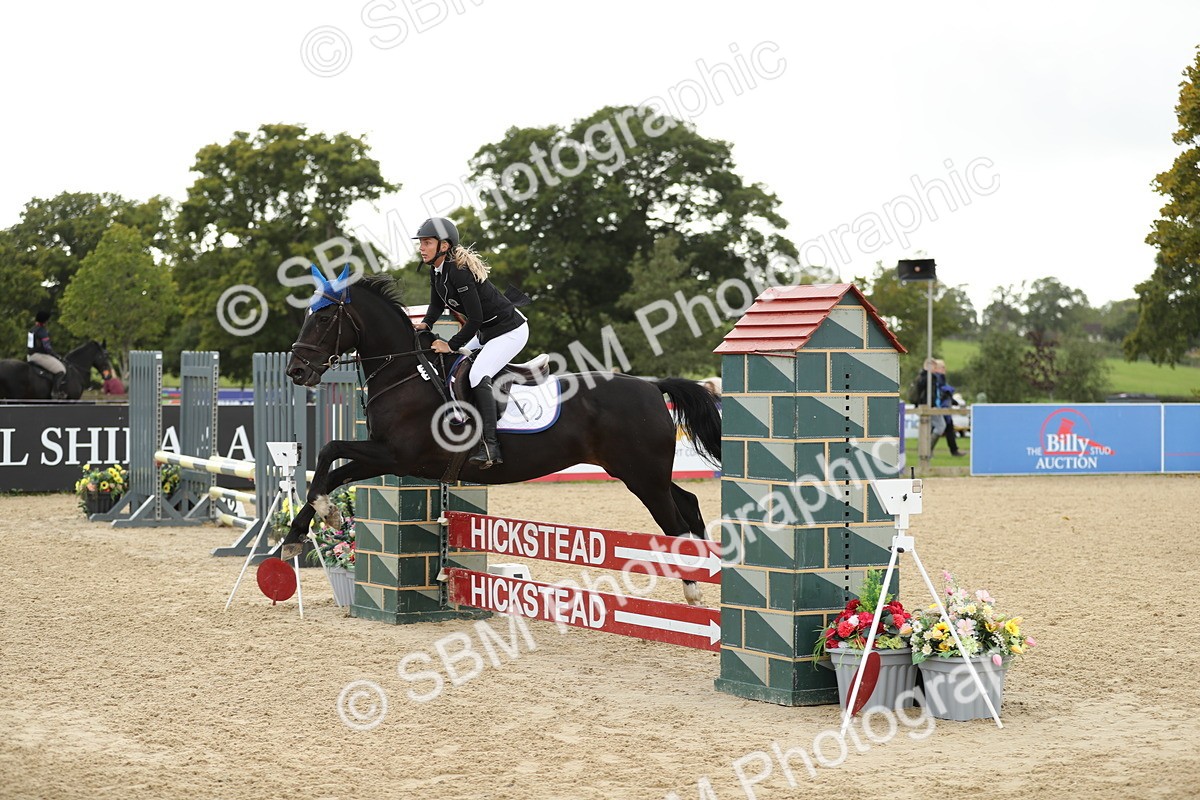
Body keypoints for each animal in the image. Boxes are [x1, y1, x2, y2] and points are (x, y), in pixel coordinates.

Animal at [280, 274, 723, 605]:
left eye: (323, 320)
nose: (296, 371)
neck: (406, 373)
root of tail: (652, 387)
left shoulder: (395, 455)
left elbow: (329, 452)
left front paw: (320, 518)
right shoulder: (384, 456)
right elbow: (331, 471)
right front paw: (305, 530)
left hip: (642, 476)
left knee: (675, 522)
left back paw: (693, 590)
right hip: (642, 472)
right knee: (689, 504)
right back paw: (709, 573)